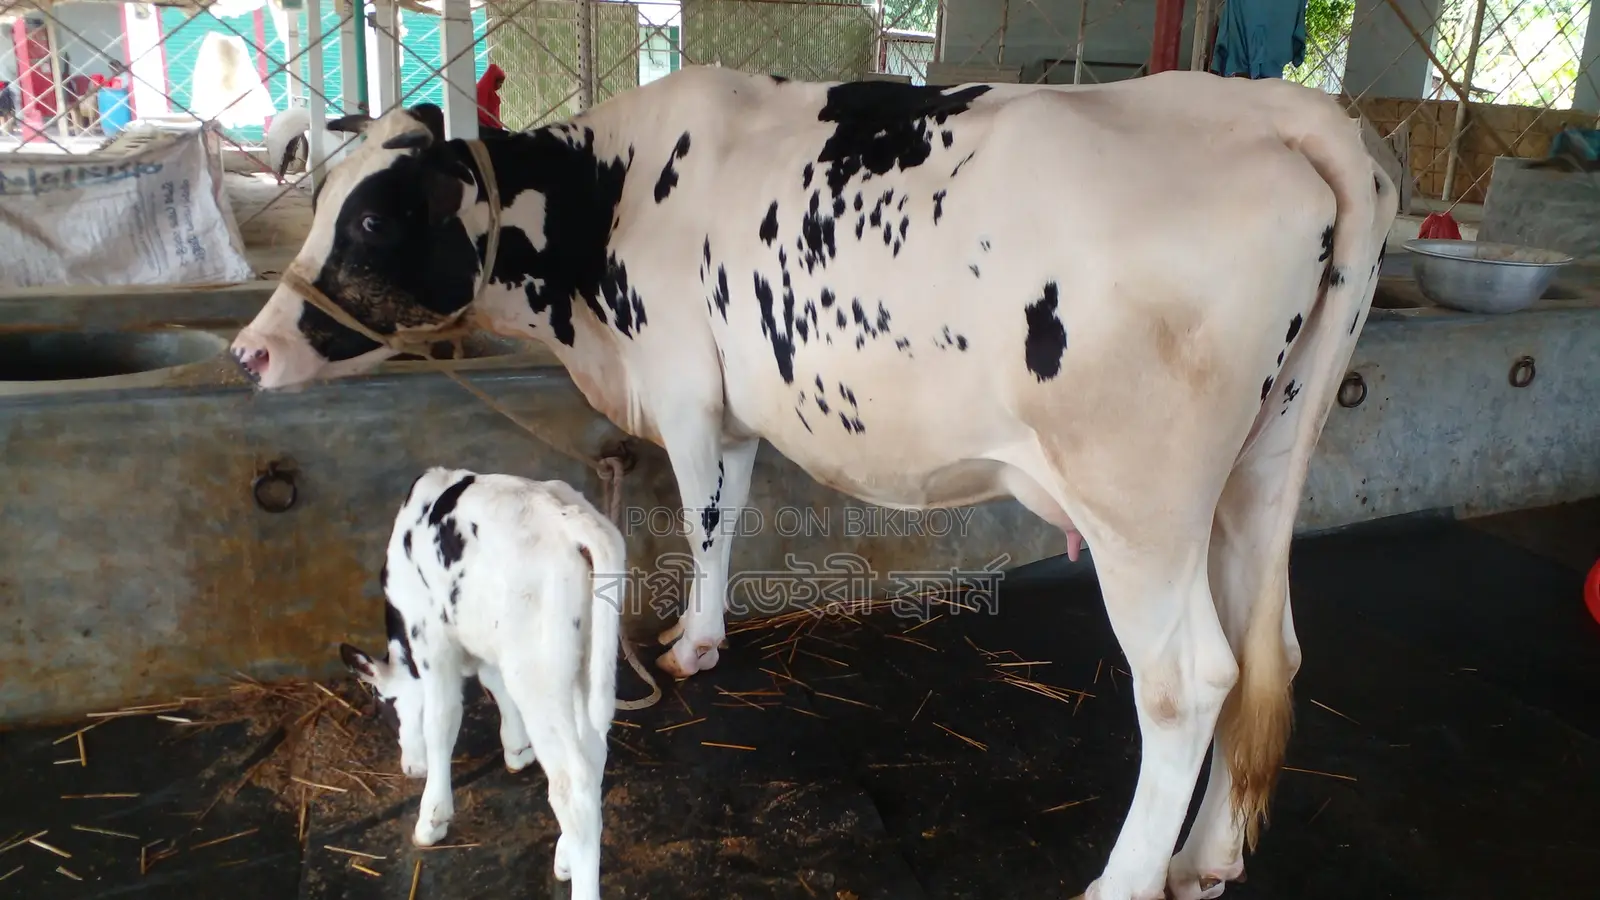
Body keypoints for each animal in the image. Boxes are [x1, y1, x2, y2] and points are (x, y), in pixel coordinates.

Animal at [339, 467, 621, 900]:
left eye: (383, 706)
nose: (409, 767)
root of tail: (568, 518)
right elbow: (493, 683)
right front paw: (516, 747)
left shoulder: (431, 638)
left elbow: (441, 720)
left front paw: (432, 816)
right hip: (586, 664)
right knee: (592, 754)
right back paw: (566, 854)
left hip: (537, 672)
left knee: (572, 786)